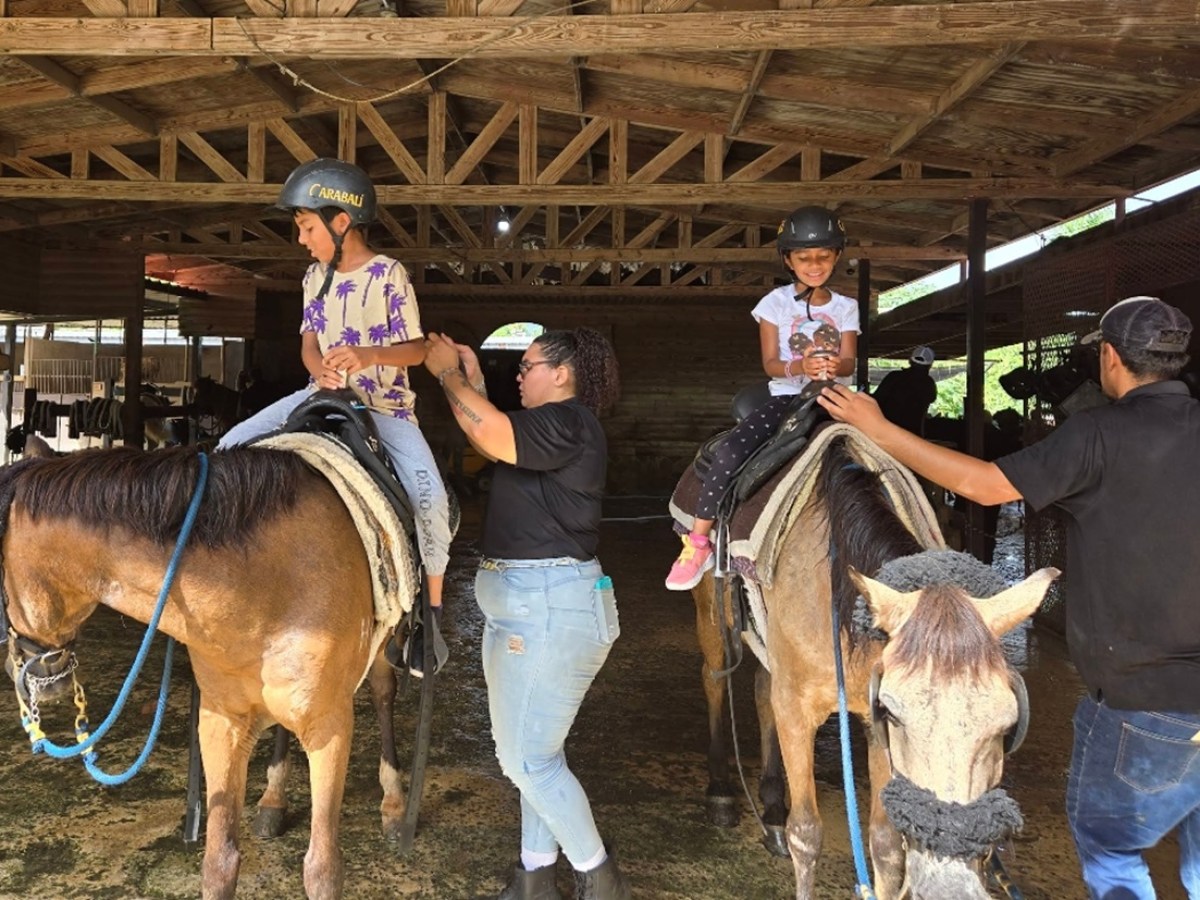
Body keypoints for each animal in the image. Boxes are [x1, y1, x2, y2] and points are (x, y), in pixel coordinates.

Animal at [0, 444, 415, 899]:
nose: (18, 670)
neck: (262, 585)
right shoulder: (221, 722)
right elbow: (219, 862)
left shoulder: (330, 728)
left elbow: (323, 870)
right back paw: (273, 799)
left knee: (383, 693)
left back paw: (395, 803)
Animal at [692, 433, 1057, 899]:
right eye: (896, 714)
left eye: (1008, 725)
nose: (948, 883)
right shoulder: (798, 709)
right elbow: (805, 834)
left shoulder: (869, 718)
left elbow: (886, 848)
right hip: (713, 615)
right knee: (714, 679)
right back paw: (720, 792)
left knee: (759, 689)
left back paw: (770, 809)